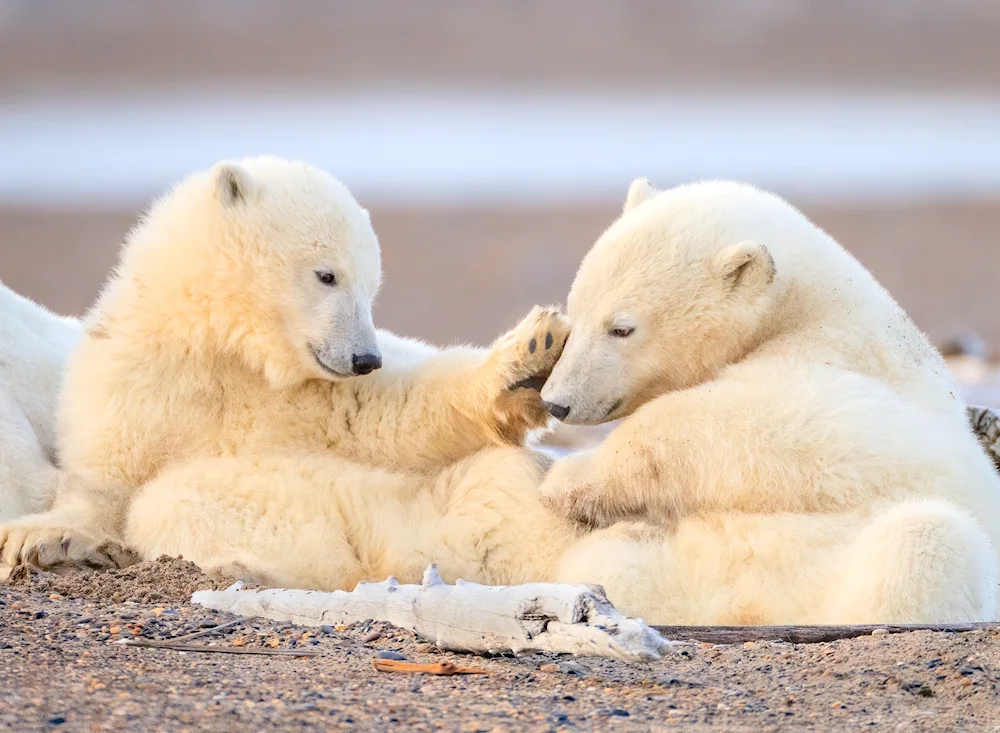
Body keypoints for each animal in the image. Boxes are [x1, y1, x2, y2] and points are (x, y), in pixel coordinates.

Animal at [544, 179, 1000, 624]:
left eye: (621, 328)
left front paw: (565, 479)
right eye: (574, 314)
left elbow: (770, 418)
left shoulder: (854, 372)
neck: (807, 309)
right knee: (614, 560)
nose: (556, 402)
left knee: (925, 538)